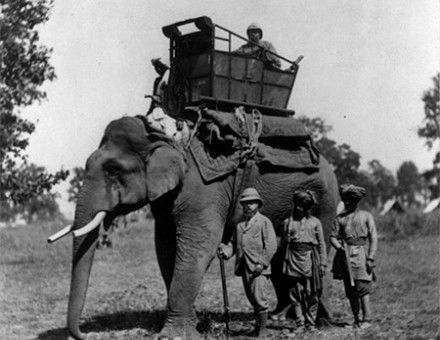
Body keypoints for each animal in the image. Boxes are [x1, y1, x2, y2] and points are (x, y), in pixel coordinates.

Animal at [61, 115, 336, 340]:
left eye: (112, 169)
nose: (85, 335)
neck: (164, 136)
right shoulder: (167, 199)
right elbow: (165, 247)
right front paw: (194, 324)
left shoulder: (203, 190)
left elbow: (198, 245)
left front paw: (173, 335)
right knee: (280, 253)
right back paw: (282, 315)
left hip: (325, 202)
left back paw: (319, 321)